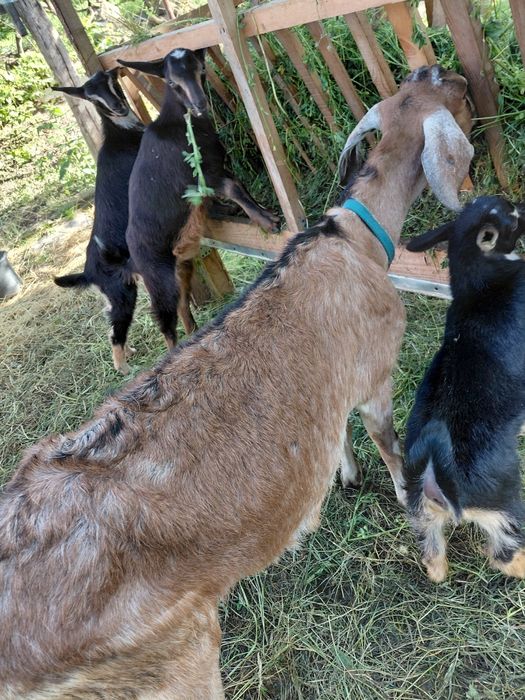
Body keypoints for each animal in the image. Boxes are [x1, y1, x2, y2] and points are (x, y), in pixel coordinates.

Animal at [53, 70, 145, 374]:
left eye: (111, 81)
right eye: (92, 98)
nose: (117, 107)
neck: (121, 135)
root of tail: (88, 273)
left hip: (114, 296)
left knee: (111, 326)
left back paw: (130, 352)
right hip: (122, 293)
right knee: (115, 332)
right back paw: (123, 368)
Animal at [117, 48, 279, 350]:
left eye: (201, 70)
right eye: (171, 82)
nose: (200, 104)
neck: (182, 124)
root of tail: (133, 259)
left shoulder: (216, 167)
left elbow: (239, 186)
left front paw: (264, 213)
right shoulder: (202, 177)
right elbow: (233, 188)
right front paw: (268, 223)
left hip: (181, 267)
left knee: (182, 307)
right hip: (157, 279)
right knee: (165, 322)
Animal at [403, 195, 525, 583]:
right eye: (513, 217)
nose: (523, 206)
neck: (479, 284)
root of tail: (433, 471)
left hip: (422, 514)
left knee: (432, 557)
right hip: (502, 505)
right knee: (503, 552)